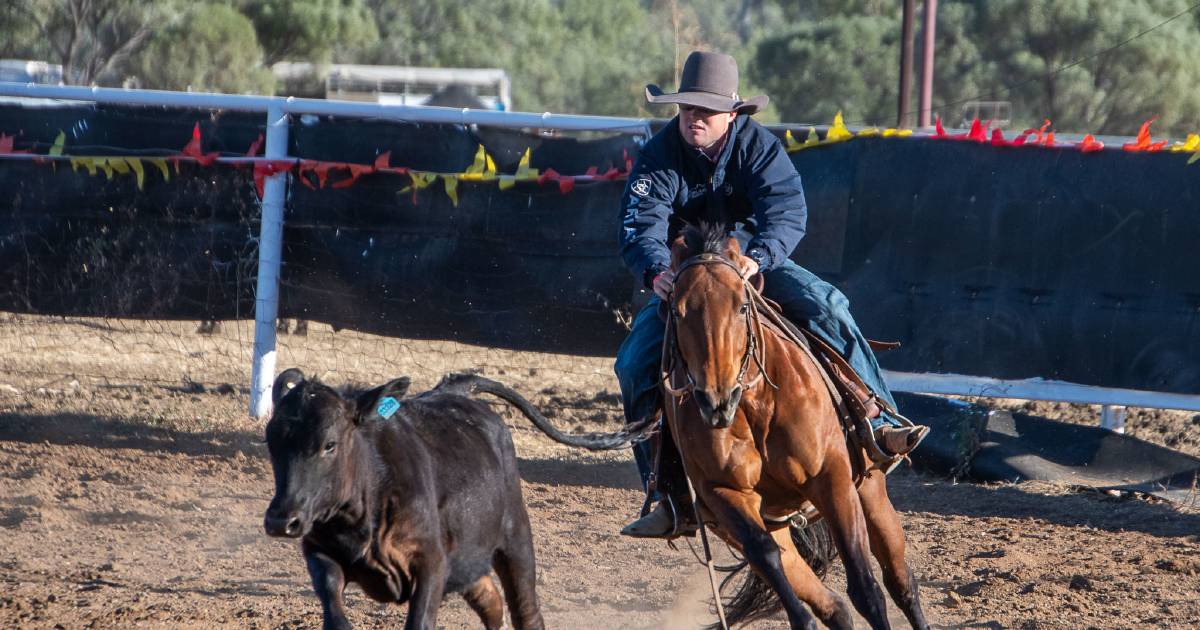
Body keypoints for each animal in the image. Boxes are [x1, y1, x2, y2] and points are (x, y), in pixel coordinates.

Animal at [662, 224, 921, 628]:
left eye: (741, 306)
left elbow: (867, 589)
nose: (717, 400)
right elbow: (768, 557)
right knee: (832, 604)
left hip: (870, 489)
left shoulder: (831, 477)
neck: (755, 404)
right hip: (760, 522)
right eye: (676, 308)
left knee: (900, 582)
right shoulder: (723, 494)